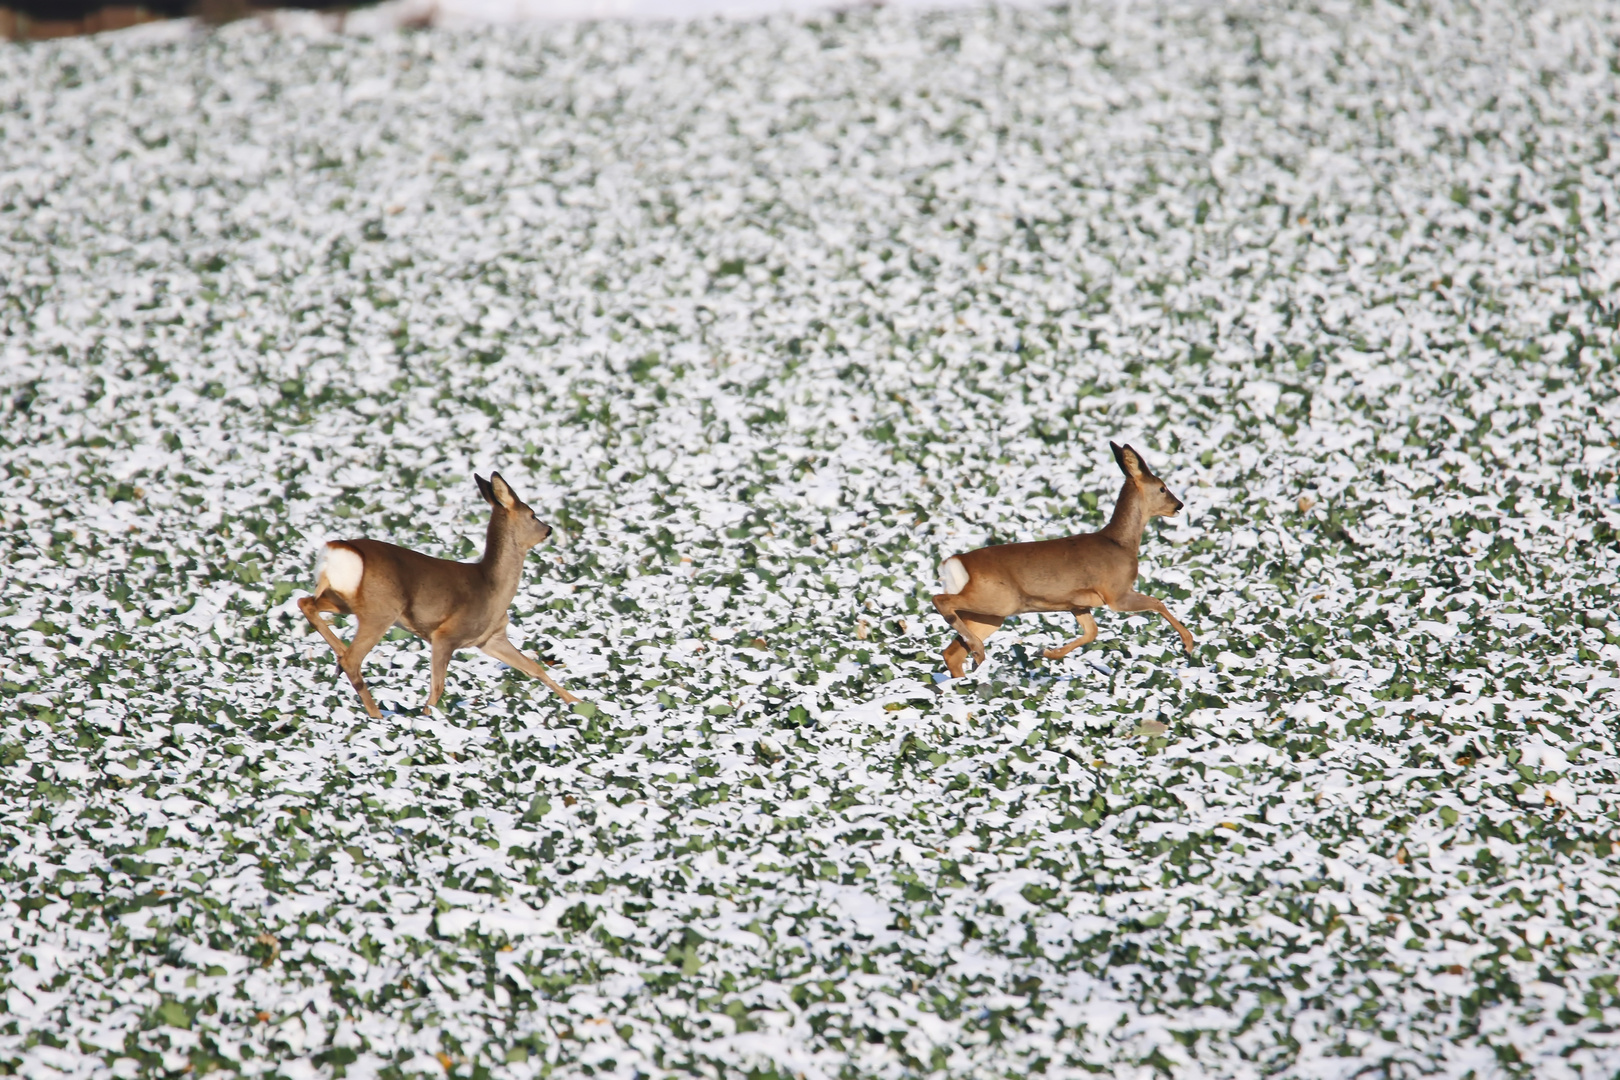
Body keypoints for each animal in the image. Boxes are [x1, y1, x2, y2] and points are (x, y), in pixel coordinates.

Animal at [298, 472, 583, 718]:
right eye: (532, 514)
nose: (548, 529)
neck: (492, 586)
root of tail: (335, 550)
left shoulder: (490, 638)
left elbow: (534, 668)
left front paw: (579, 703)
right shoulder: (446, 634)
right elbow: (437, 687)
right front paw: (428, 719)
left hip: (344, 600)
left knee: (305, 603)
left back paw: (338, 656)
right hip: (381, 611)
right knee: (352, 659)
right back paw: (376, 713)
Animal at [933, 443, 1198, 680]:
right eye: (1162, 487)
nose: (1179, 505)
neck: (1120, 543)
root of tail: (955, 562)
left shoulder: (1078, 604)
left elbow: (1092, 632)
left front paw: (1046, 652)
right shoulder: (1116, 593)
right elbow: (1157, 602)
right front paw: (1188, 645)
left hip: (991, 613)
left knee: (951, 653)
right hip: (998, 600)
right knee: (940, 601)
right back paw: (978, 652)